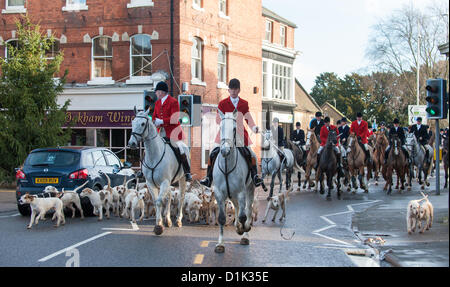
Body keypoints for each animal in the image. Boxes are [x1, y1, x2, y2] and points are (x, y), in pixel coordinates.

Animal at [126, 108, 188, 236]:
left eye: (142, 124)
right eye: (132, 122)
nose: (132, 143)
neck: (154, 154)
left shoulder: (165, 182)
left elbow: (159, 202)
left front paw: (159, 226)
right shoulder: (151, 183)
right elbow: (156, 201)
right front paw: (159, 222)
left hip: (182, 179)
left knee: (181, 197)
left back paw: (178, 220)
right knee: (169, 197)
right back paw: (168, 220)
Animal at [214, 110, 256, 254]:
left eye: (234, 128)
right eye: (221, 127)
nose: (224, 151)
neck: (227, 164)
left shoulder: (242, 192)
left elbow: (244, 216)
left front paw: (245, 229)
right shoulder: (219, 194)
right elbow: (221, 218)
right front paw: (220, 244)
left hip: (249, 189)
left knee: (247, 209)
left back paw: (245, 233)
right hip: (231, 194)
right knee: (237, 207)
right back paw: (238, 226)